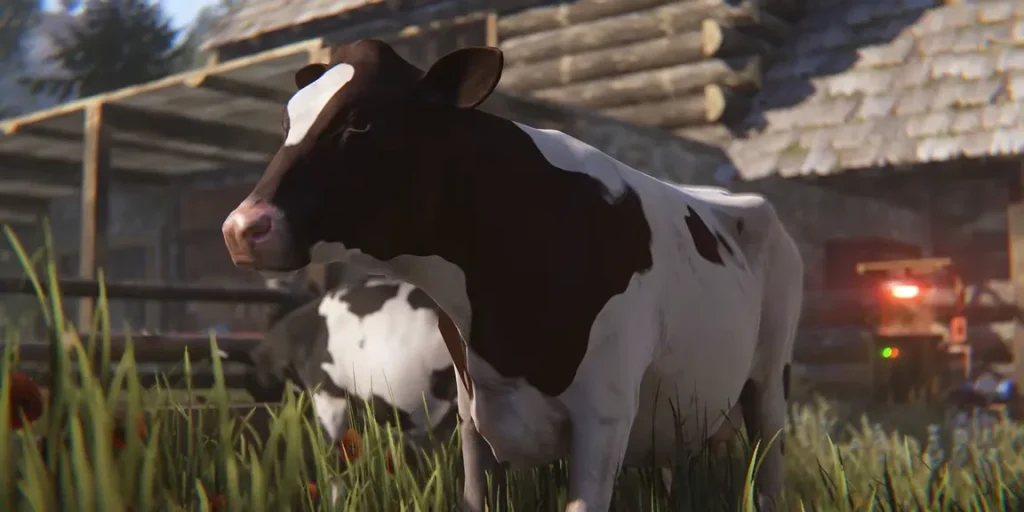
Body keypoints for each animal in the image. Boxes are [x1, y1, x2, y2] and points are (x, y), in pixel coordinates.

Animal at [221, 39, 803, 512]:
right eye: (288, 124)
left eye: (360, 121)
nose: (242, 228)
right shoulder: (473, 419)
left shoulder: (605, 415)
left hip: (770, 383)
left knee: (770, 471)